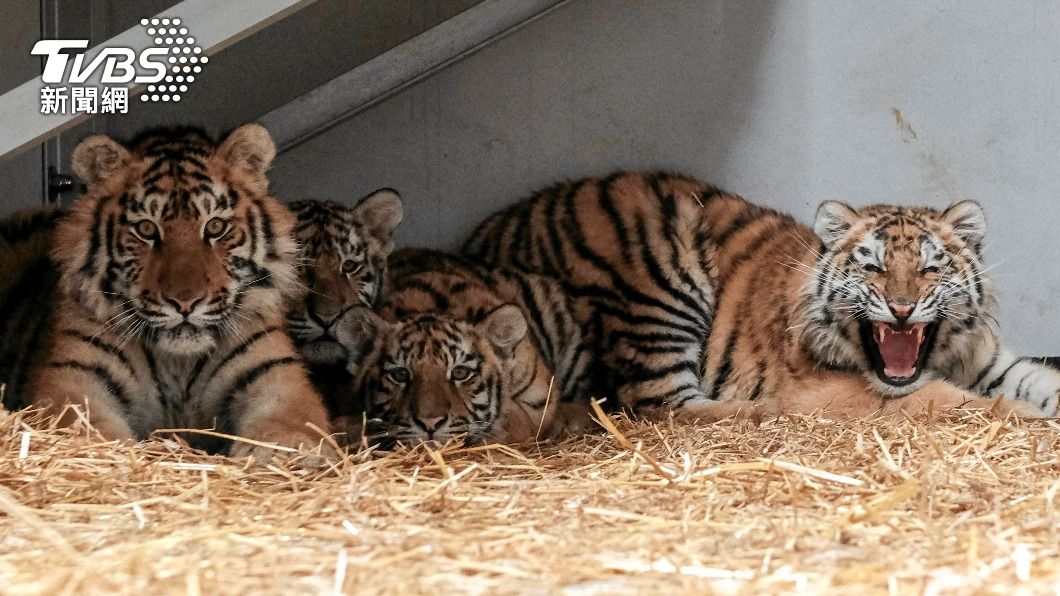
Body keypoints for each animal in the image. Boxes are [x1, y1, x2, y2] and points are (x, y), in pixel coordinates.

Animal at [19, 124, 331, 459]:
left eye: (215, 226)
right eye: (146, 229)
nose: (185, 303)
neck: (178, 365)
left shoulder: (276, 377)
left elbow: (288, 430)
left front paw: (284, 454)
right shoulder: (77, 378)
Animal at [462, 171, 1054, 421]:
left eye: (931, 268)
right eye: (874, 267)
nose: (903, 308)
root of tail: (490, 232)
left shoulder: (992, 362)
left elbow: (1040, 380)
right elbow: (947, 400)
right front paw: (1026, 416)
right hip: (660, 294)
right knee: (668, 409)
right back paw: (766, 409)